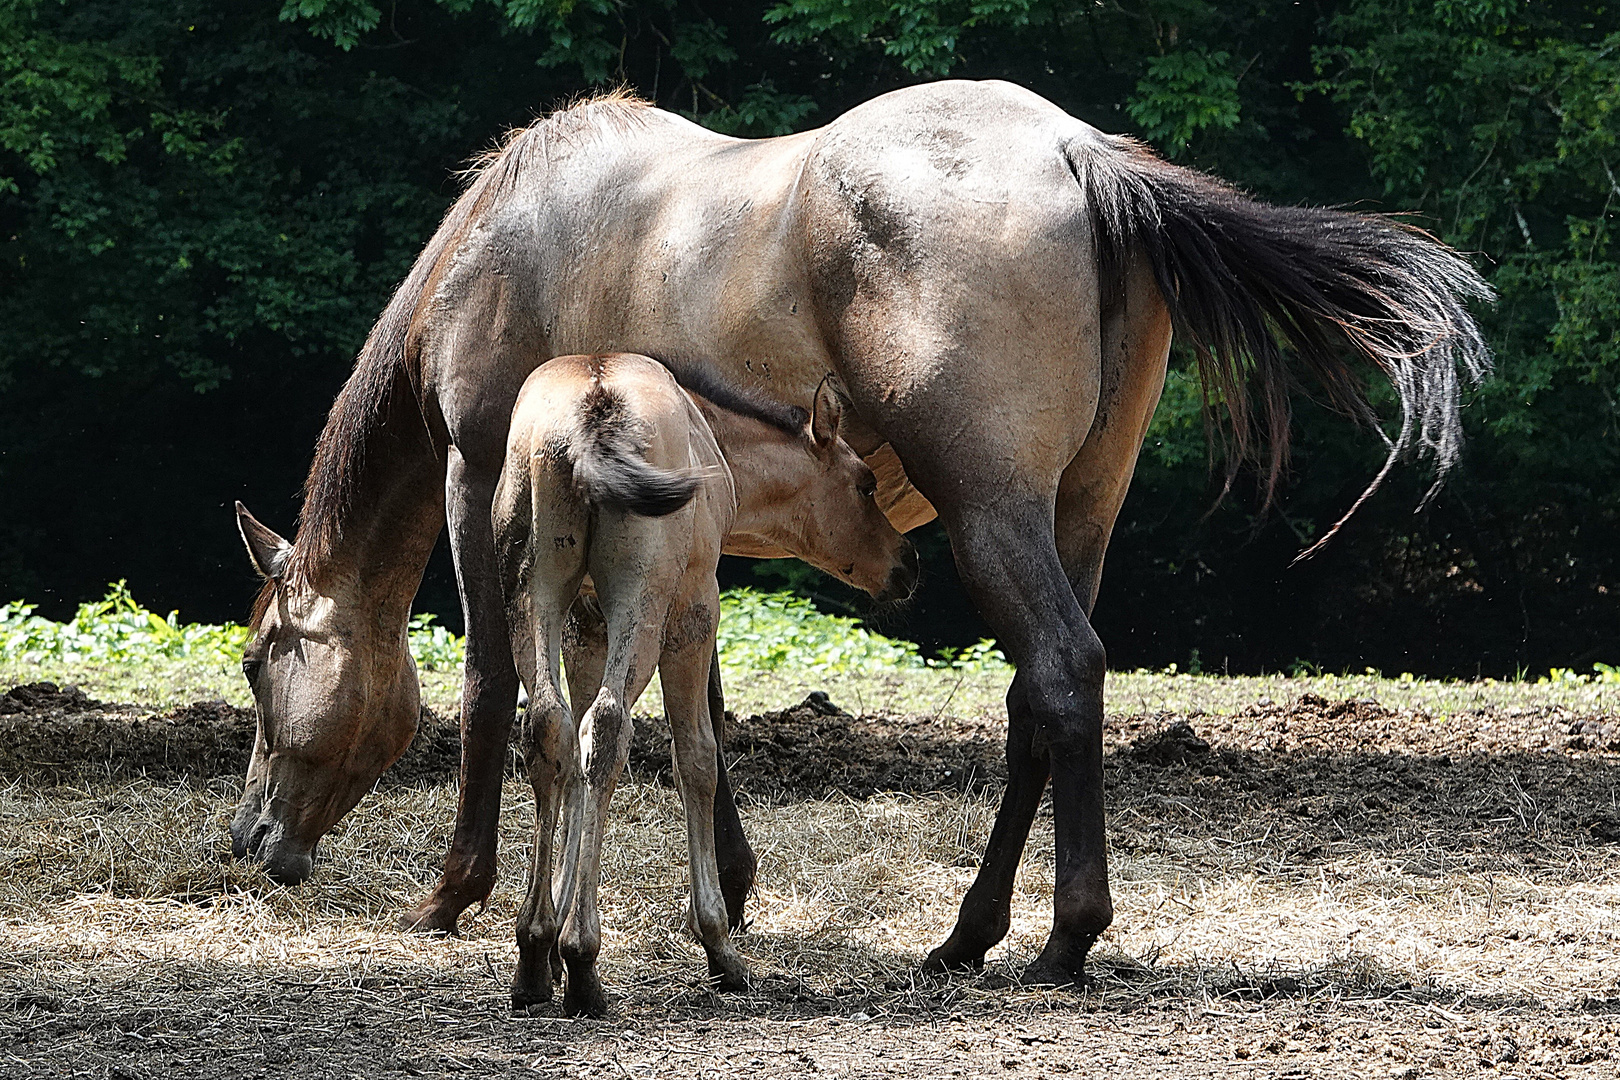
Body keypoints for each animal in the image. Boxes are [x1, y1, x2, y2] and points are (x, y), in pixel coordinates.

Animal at [495, 352, 913, 1016]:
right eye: (866, 483)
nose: (908, 564)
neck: (714, 438)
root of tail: (593, 407)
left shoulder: (587, 625)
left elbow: (577, 764)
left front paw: (554, 933)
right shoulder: (695, 610)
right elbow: (696, 757)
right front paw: (718, 945)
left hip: (533, 590)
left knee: (551, 727)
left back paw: (536, 954)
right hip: (646, 599)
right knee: (609, 727)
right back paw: (584, 961)